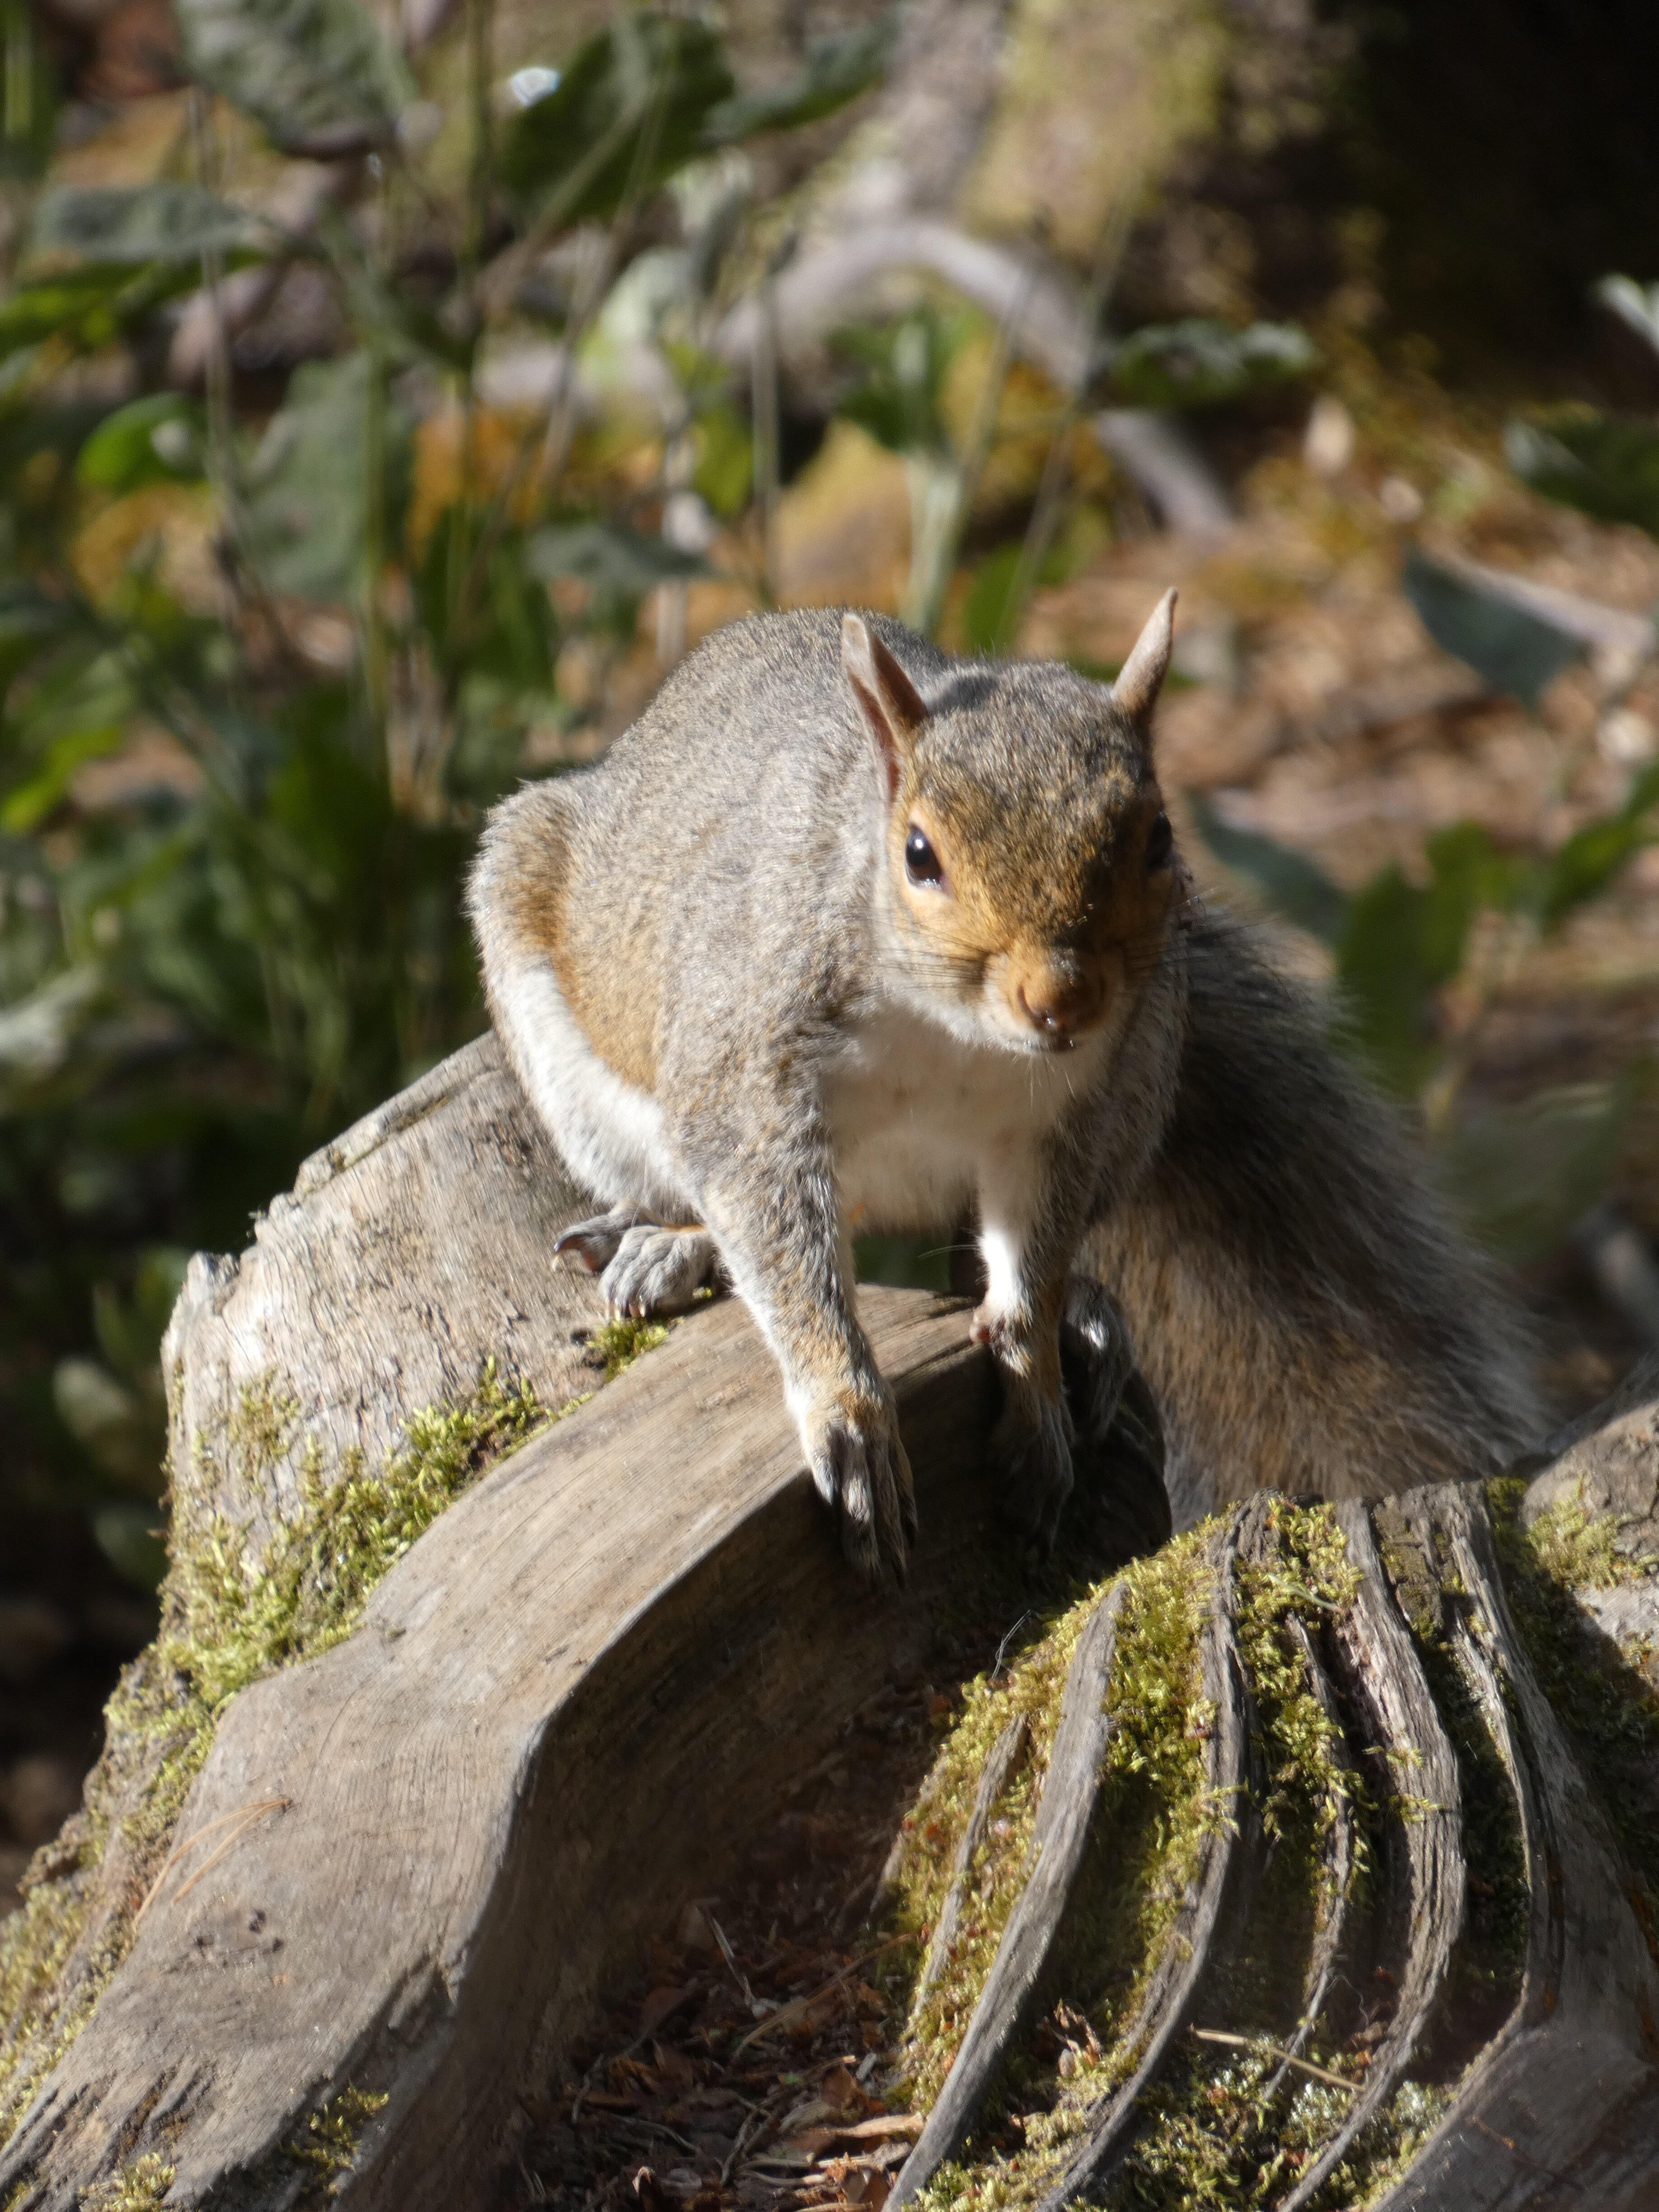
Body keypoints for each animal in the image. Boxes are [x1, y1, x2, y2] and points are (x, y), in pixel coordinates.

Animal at [471, 597, 1548, 1584]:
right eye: (918, 853)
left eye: (1161, 838)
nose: (1062, 999)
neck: (953, 1030)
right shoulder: (751, 1072)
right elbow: (774, 1231)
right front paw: (847, 1412)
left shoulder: (1065, 1125)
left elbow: (1031, 1259)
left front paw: (1034, 1373)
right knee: (719, 1198)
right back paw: (671, 1245)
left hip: (1143, 1087)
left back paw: (1088, 1315)